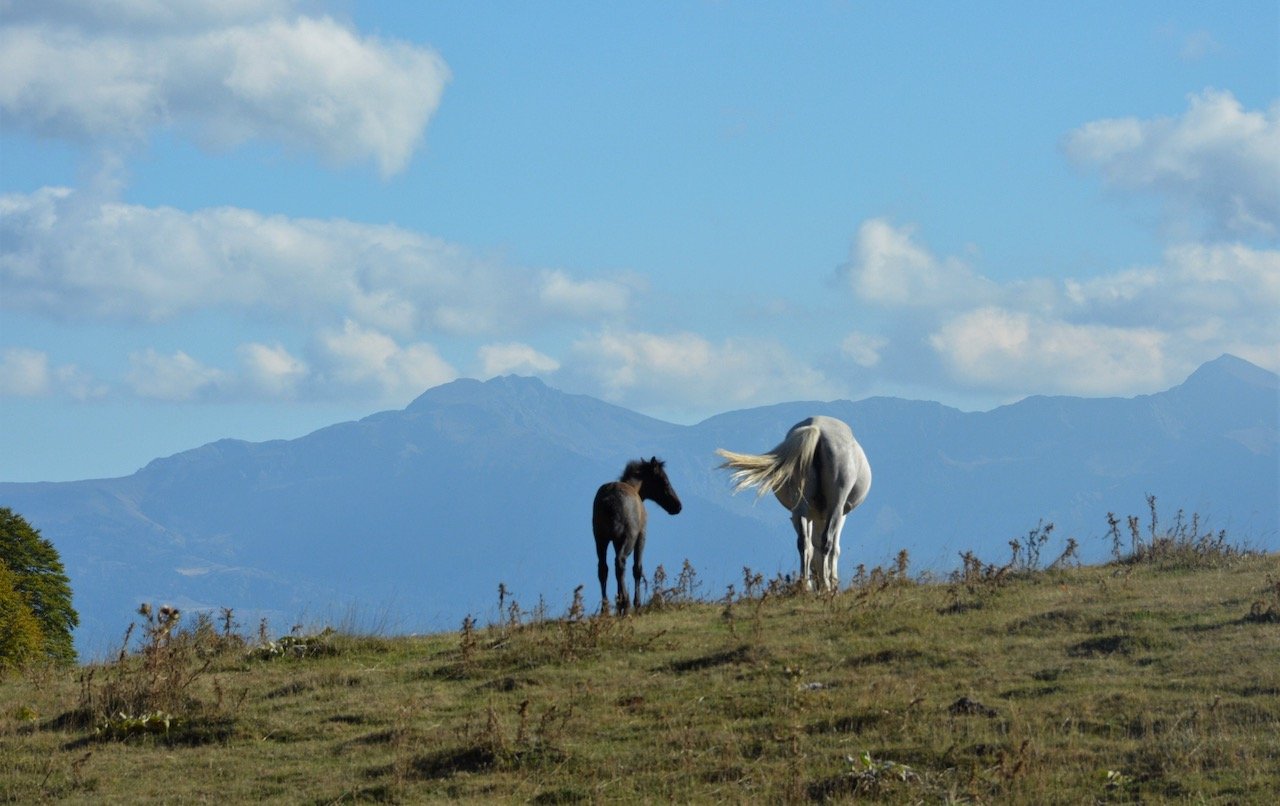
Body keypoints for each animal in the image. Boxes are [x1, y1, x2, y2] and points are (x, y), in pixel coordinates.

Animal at [721, 419, 870, 591]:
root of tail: (817, 427)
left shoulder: (812, 516)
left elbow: (813, 548)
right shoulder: (840, 514)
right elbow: (833, 549)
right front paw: (832, 584)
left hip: (800, 508)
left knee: (804, 543)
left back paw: (806, 586)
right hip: (835, 506)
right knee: (826, 542)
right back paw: (825, 586)